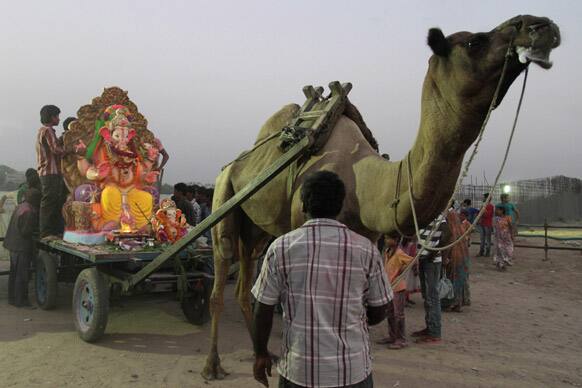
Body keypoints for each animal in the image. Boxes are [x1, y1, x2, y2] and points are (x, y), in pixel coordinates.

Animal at [201, 15, 560, 378]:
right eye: (474, 42)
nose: (541, 25)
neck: (363, 182)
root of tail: (234, 164)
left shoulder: (369, 239)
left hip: (256, 228)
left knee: (244, 284)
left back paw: (262, 355)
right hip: (224, 195)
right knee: (221, 272)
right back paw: (212, 365)